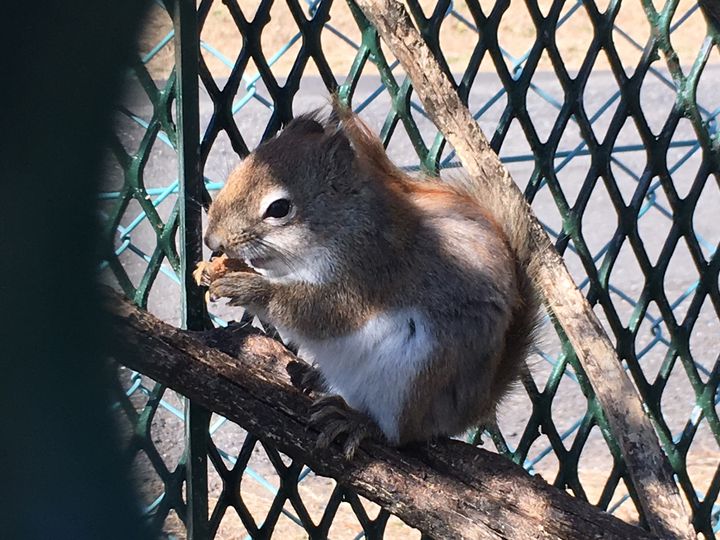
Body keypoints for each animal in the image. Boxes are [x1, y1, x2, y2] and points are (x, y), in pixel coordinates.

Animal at [202, 105, 540, 460]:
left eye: (279, 208)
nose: (212, 240)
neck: (344, 225)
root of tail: (462, 413)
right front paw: (217, 273)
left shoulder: (371, 270)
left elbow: (321, 313)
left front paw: (249, 289)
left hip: (415, 376)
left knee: (400, 434)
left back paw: (359, 422)